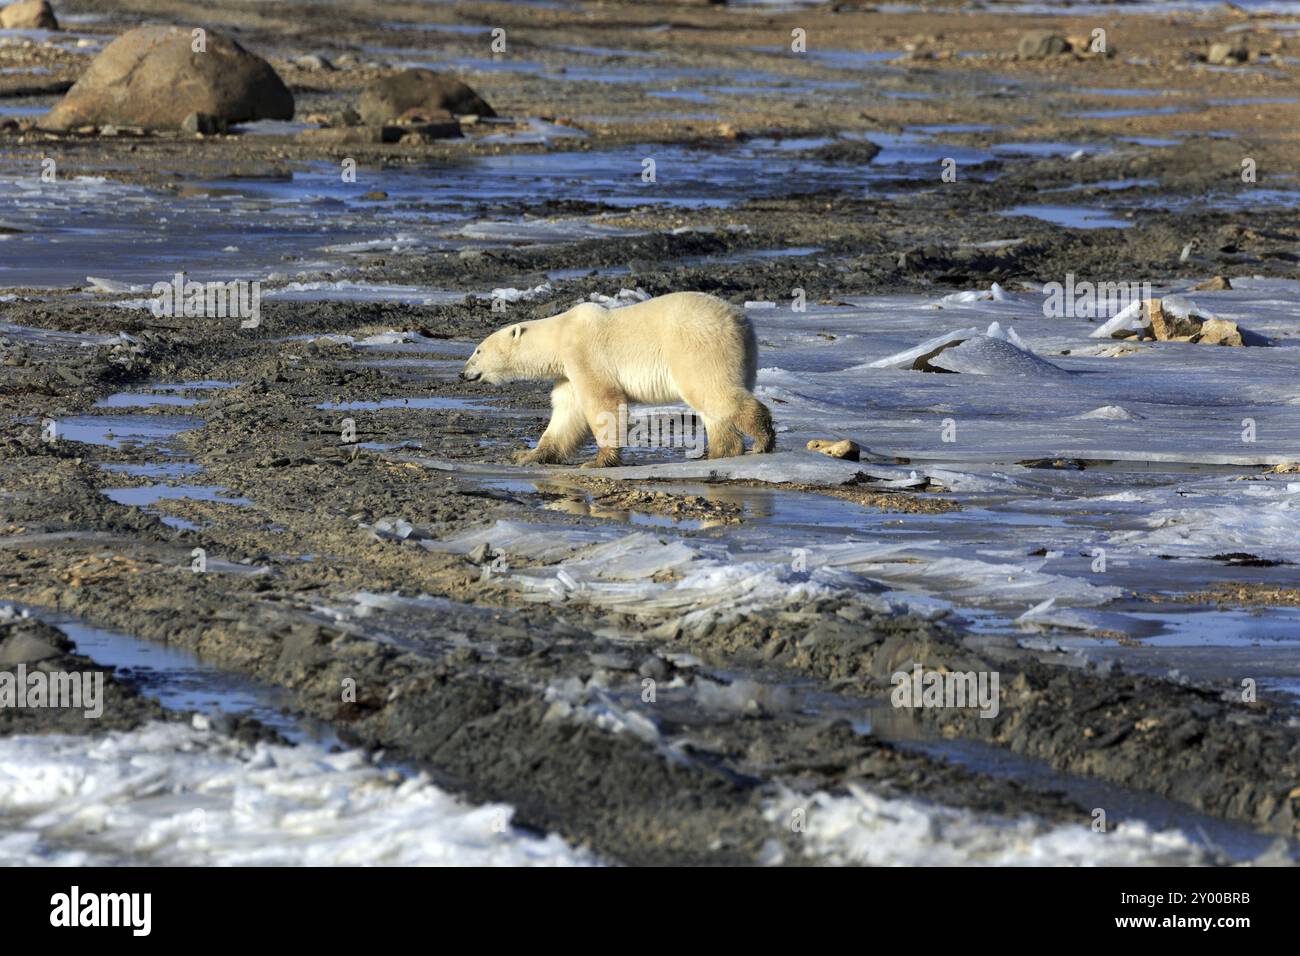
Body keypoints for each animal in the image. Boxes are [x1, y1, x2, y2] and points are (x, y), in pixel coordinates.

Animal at [462, 293, 774, 468]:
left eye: (478, 350)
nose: (462, 372)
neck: (560, 334)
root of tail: (741, 322)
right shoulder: (567, 372)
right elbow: (566, 413)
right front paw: (527, 455)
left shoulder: (584, 353)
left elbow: (603, 401)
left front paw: (597, 461)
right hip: (742, 355)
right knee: (714, 408)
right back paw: (720, 451)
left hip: (697, 346)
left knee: (712, 391)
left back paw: (762, 440)